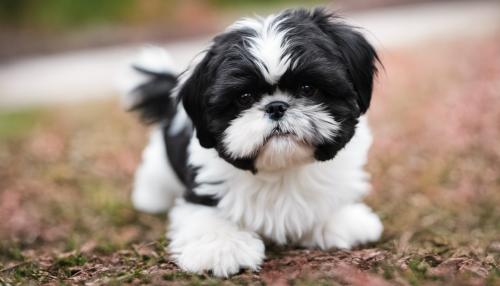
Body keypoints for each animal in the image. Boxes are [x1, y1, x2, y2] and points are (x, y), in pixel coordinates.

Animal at [124, 7, 382, 278]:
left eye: (308, 88)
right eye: (244, 97)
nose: (276, 106)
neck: (282, 170)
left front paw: (339, 219)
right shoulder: (204, 187)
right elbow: (205, 215)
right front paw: (222, 245)